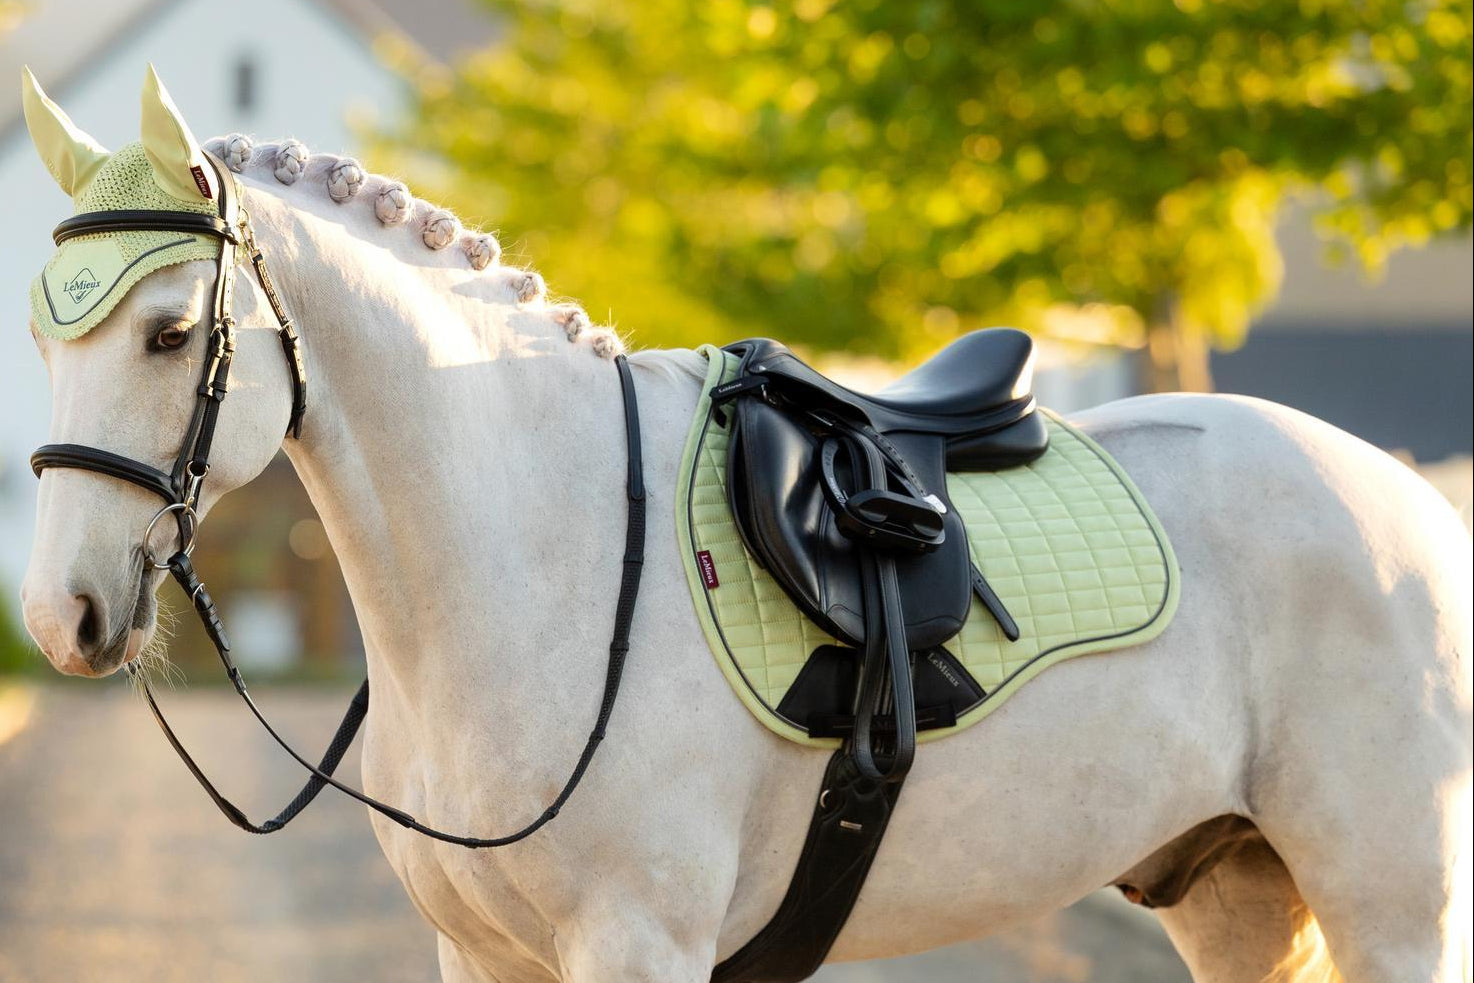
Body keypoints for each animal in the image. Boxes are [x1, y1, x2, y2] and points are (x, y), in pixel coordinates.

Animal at [18, 74, 1471, 982]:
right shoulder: (482, 952)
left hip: (1391, 903)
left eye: (169, 334)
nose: (59, 615)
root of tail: (1409, 502)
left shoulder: (637, 942)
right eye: (42, 335)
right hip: (1241, 892)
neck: (535, 554)